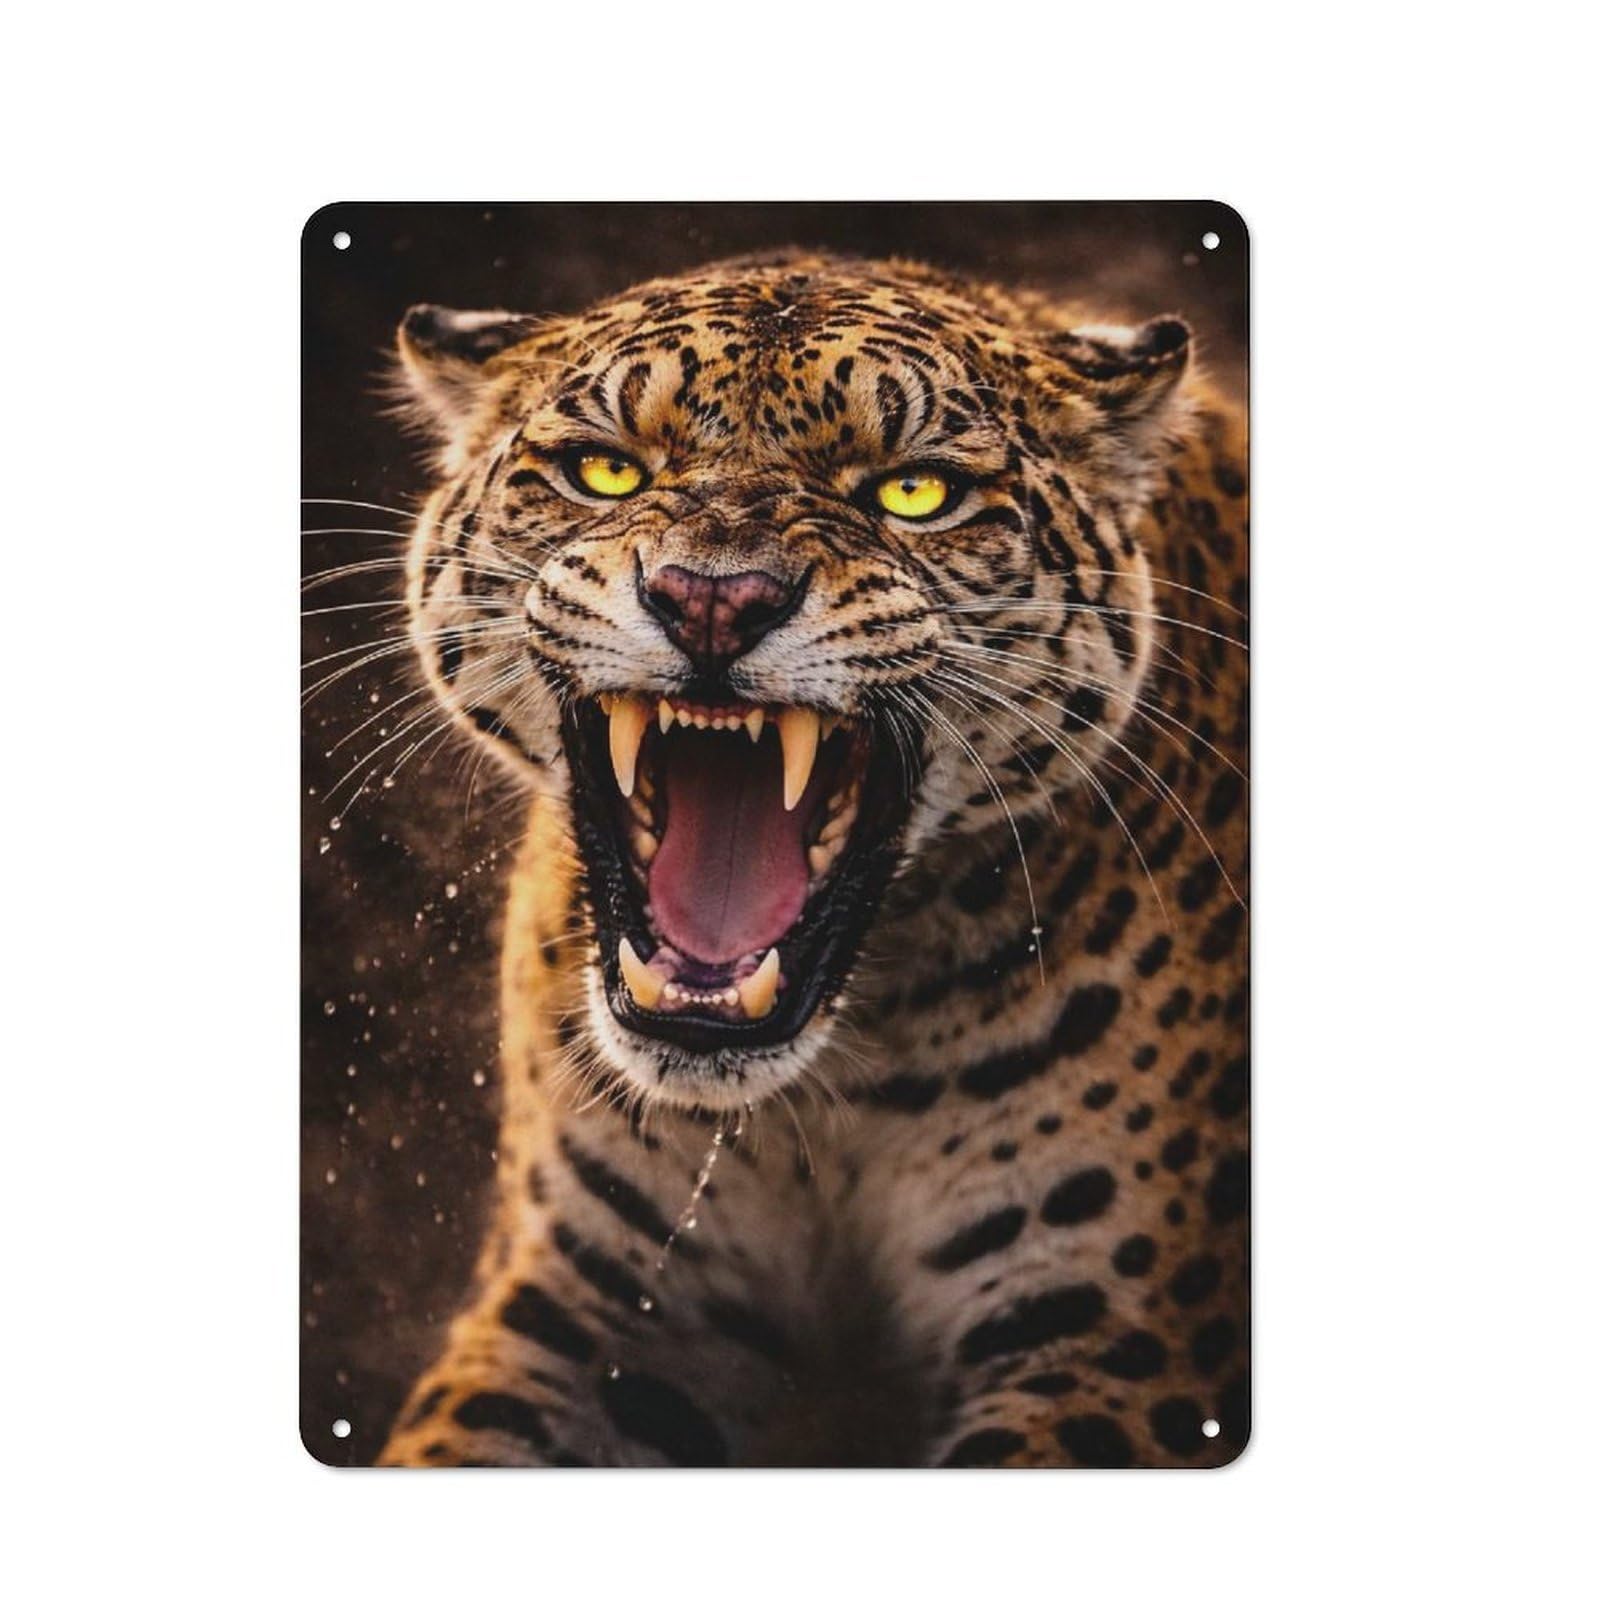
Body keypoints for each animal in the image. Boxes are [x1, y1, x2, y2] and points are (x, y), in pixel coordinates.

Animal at [369, 249, 1249, 1467]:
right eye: (605, 470)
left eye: (914, 493)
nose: (711, 599)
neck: (826, 1102)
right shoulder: (586, 1307)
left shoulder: (1115, 1340)